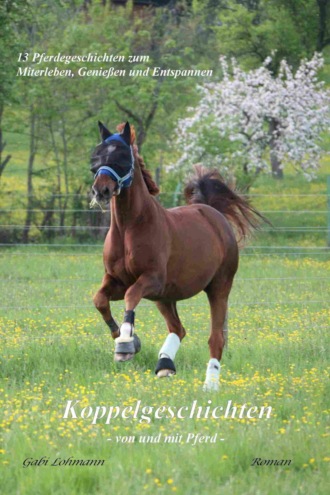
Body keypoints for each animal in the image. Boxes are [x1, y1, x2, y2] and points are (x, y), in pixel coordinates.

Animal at [89, 121, 262, 392]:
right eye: (96, 156)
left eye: (122, 157)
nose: (101, 190)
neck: (129, 228)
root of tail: (213, 212)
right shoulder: (117, 281)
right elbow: (99, 300)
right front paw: (125, 338)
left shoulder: (150, 279)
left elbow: (130, 296)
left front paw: (126, 343)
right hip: (165, 297)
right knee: (178, 329)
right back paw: (165, 365)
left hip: (218, 288)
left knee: (215, 338)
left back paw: (210, 384)